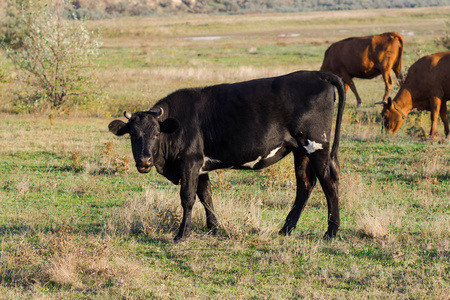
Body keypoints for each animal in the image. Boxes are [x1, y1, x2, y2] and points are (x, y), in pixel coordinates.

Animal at [108, 71, 344, 243]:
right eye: (133, 135)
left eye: (156, 134)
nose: (144, 161)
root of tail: (317, 74)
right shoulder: (200, 167)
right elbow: (206, 196)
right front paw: (214, 228)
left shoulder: (190, 161)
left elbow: (188, 197)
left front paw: (182, 234)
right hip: (300, 151)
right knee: (305, 185)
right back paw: (286, 229)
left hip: (317, 146)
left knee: (329, 183)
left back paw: (331, 232)